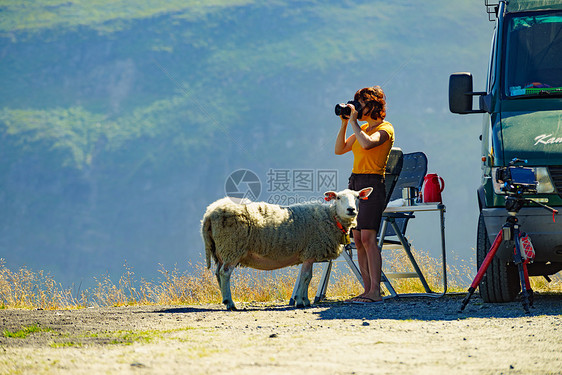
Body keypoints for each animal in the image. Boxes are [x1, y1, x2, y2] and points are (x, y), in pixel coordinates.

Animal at [201, 188, 372, 312]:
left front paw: (303, 300)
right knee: (225, 273)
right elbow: (306, 277)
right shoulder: (310, 251)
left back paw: (225, 300)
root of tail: (209, 213)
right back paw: (230, 303)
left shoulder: (307, 254)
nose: (351, 210)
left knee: (218, 273)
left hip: (222, 251)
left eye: (357, 197)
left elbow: (306, 277)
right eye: (338, 198)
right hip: (232, 247)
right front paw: (302, 302)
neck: (330, 217)